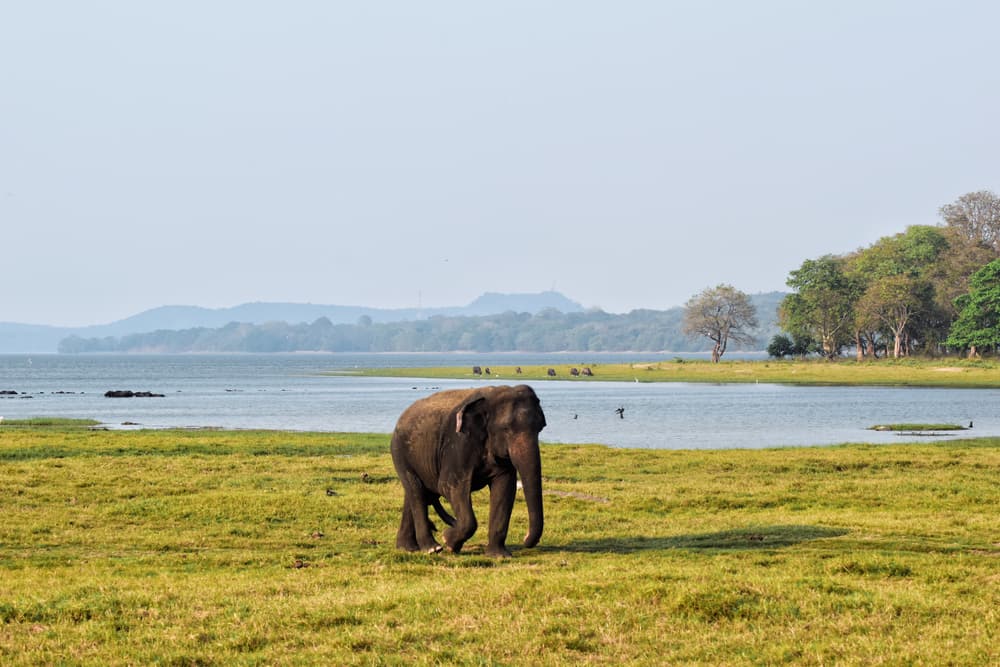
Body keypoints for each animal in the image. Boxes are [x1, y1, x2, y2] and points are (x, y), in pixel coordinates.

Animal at [390, 384, 546, 558]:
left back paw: (408, 548)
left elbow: (504, 489)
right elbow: (449, 486)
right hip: (400, 453)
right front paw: (448, 541)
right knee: (416, 492)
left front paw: (499, 556)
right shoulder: (459, 443)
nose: (525, 538)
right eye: (506, 429)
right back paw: (432, 548)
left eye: (540, 428)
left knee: (415, 494)